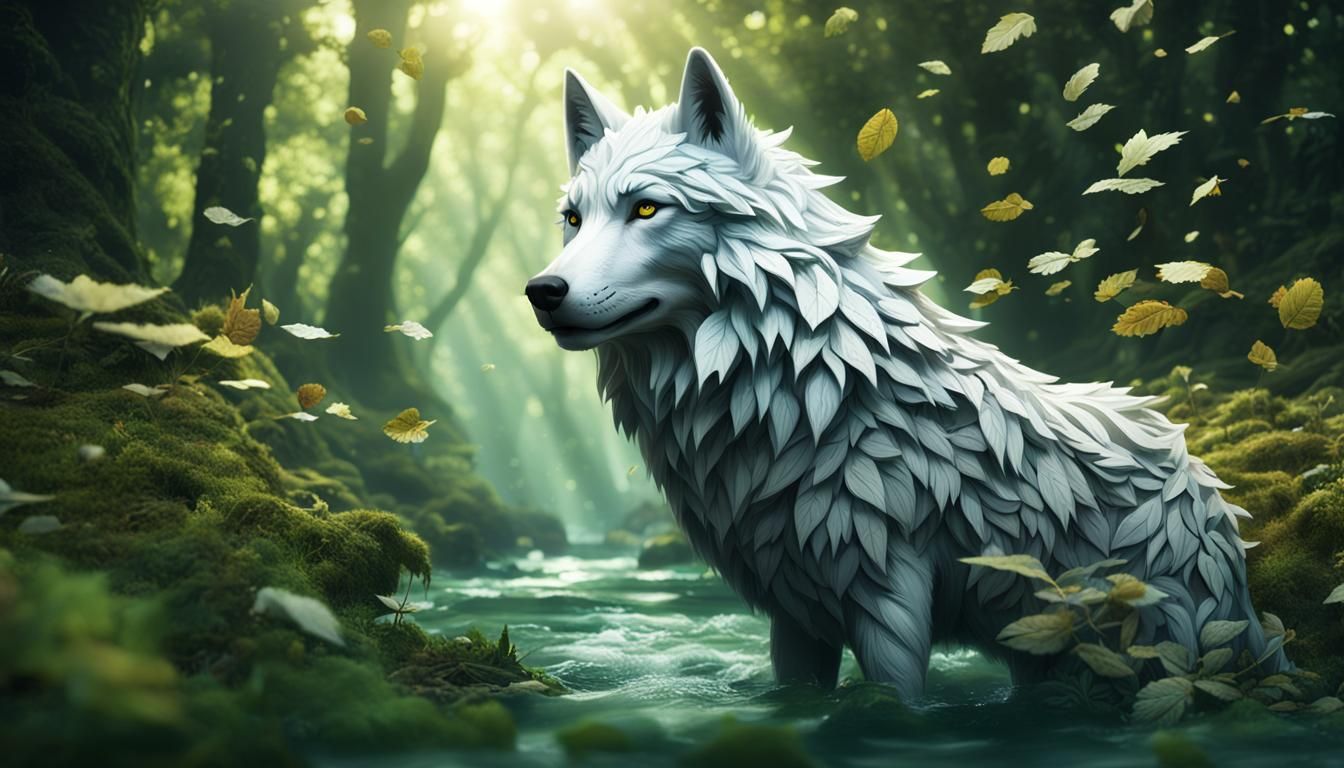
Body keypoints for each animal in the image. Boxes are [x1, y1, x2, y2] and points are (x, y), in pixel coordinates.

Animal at [526, 48, 1288, 699]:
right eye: (573, 218)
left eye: (646, 208)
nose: (542, 291)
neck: (811, 383)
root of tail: (1214, 496)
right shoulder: (795, 614)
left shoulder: (888, 599)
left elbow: (898, 703)